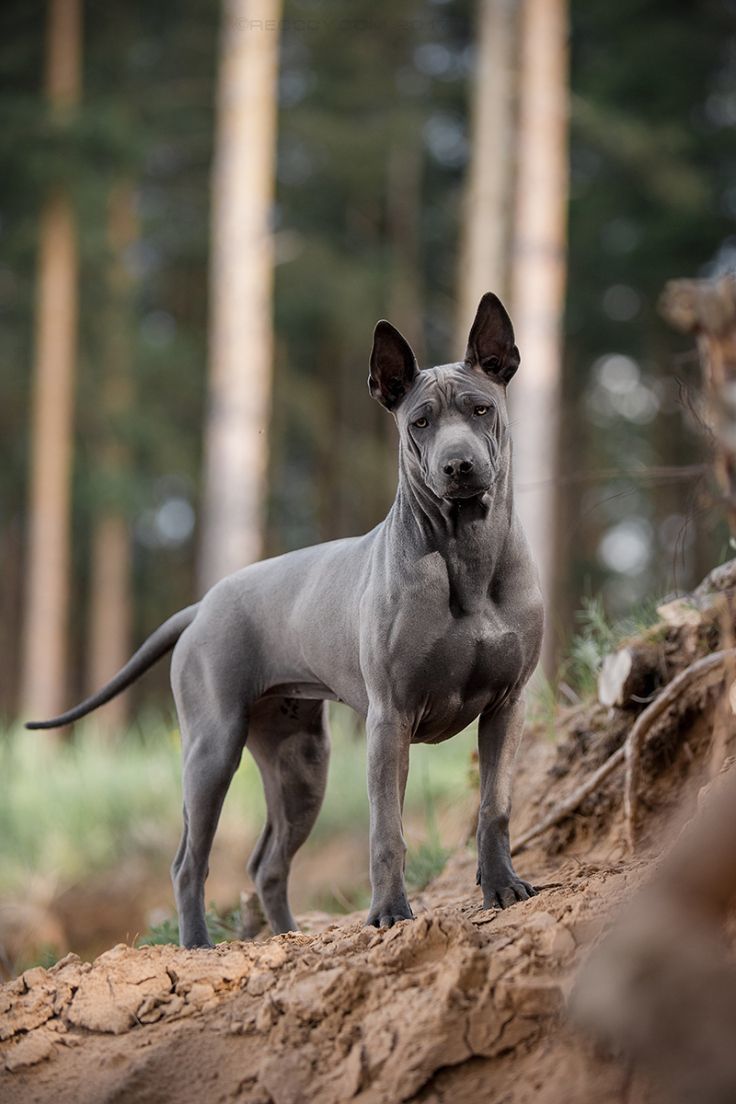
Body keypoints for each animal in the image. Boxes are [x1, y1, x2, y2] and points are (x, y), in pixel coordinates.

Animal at [28, 293, 545, 949]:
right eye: (420, 422)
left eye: (482, 409)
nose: (459, 466)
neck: (467, 553)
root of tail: (204, 603)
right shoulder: (389, 720)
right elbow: (386, 832)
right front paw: (388, 913)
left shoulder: (507, 704)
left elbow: (493, 808)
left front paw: (502, 887)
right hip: (212, 750)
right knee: (189, 861)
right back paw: (198, 945)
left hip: (300, 764)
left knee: (266, 864)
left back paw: (286, 936)